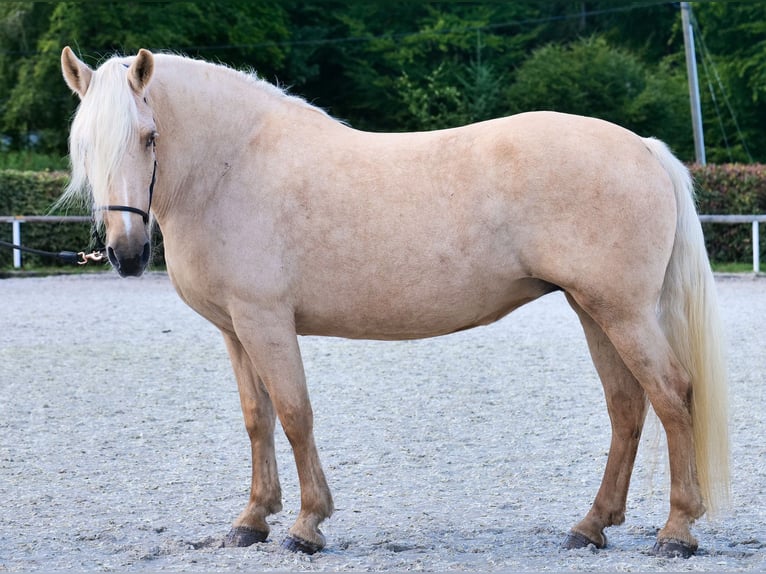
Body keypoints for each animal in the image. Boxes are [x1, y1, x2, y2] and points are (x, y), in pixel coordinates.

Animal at [59, 46, 729, 558]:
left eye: (149, 137)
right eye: (84, 144)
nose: (127, 253)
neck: (232, 167)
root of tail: (642, 148)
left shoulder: (266, 321)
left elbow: (295, 414)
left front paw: (306, 526)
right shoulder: (236, 329)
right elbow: (258, 419)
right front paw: (251, 521)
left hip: (623, 313)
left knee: (672, 397)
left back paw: (676, 532)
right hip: (594, 311)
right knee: (627, 409)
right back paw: (591, 527)